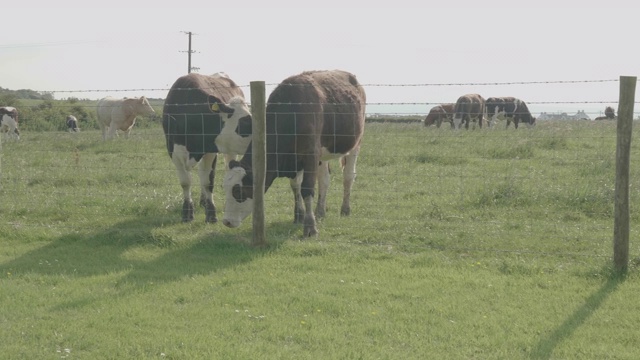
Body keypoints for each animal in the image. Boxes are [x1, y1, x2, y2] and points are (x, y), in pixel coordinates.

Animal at [162, 72, 252, 224]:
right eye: (245, 122)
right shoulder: (173, 151)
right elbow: (185, 182)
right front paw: (187, 212)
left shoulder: (210, 150)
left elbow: (208, 181)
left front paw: (211, 213)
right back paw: (202, 201)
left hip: (230, 151)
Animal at [221, 69, 364, 236]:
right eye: (225, 188)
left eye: (239, 191)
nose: (227, 221)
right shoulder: (296, 158)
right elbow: (295, 186)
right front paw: (299, 215)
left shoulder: (310, 154)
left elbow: (307, 188)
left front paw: (310, 226)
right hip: (323, 154)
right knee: (324, 180)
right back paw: (320, 211)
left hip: (355, 144)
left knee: (348, 176)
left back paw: (345, 209)